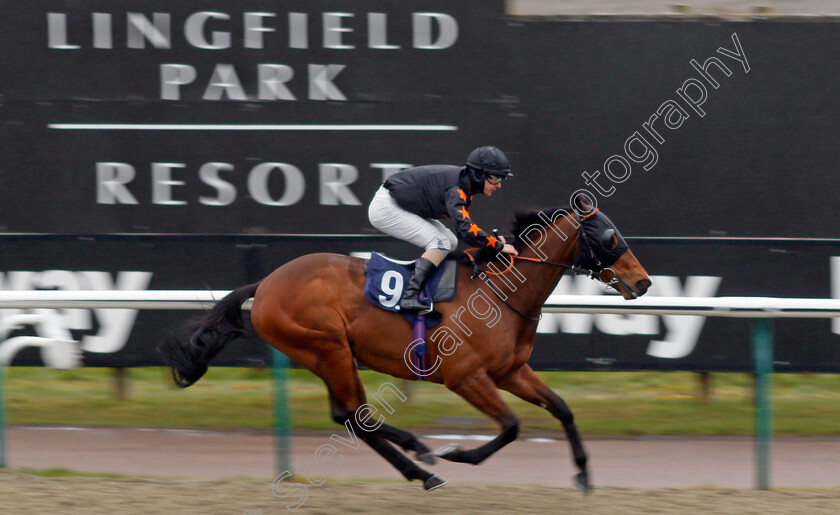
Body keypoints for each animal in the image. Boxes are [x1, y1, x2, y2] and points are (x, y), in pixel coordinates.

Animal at [161, 201, 652, 492]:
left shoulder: (509, 371)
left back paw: (420, 464)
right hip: (328, 347)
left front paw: (584, 473)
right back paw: (423, 458)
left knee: (349, 416)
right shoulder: (465, 377)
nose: (644, 282)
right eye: (609, 237)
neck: (501, 293)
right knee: (355, 415)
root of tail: (265, 285)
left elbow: (563, 409)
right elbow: (512, 426)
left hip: (327, 354)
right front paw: (459, 453)